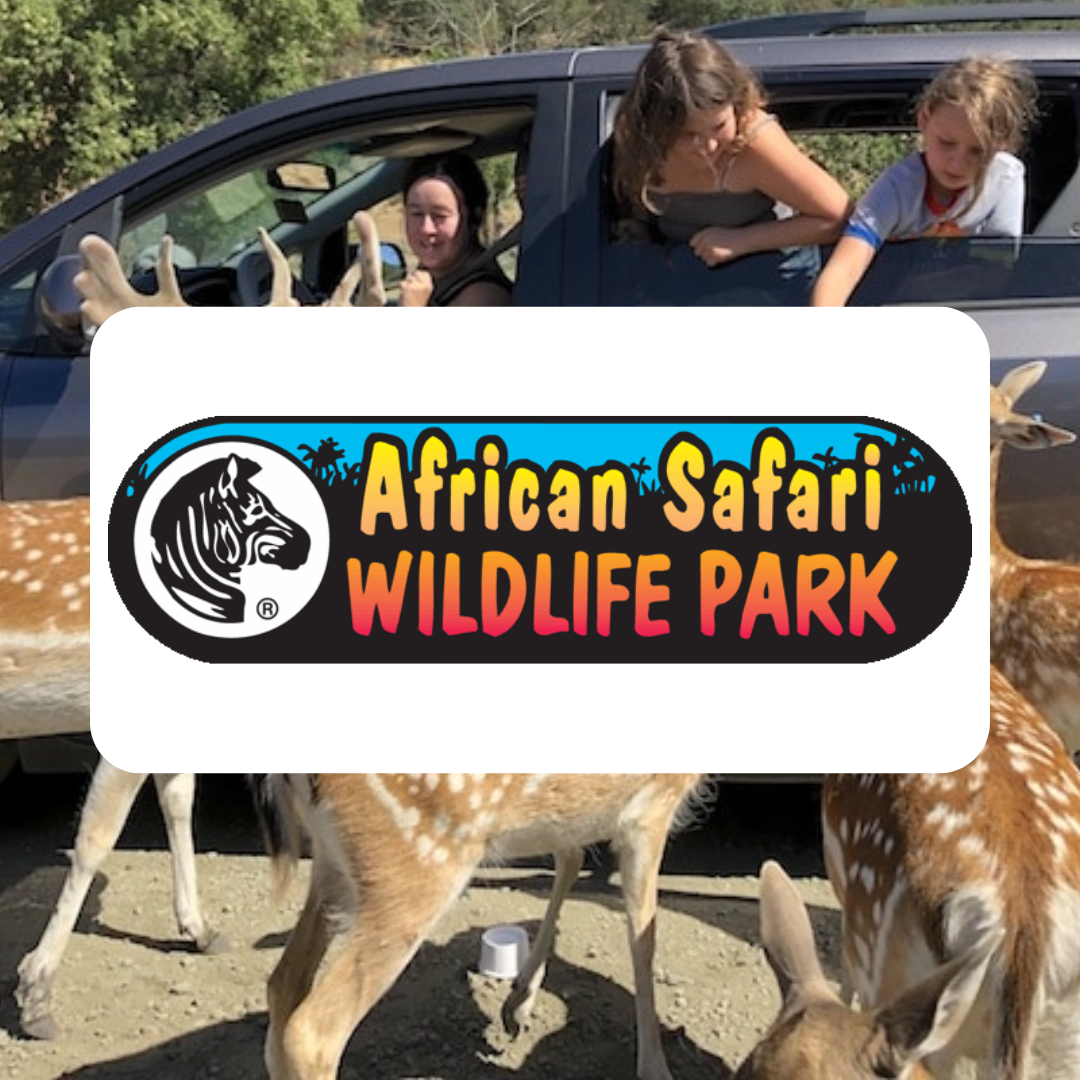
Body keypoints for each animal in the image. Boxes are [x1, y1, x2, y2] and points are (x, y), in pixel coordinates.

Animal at [250, 773, 710, 1080]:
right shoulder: (654, 805)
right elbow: (643, 940)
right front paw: (655, 1068)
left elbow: (571, 856)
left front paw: (518, 1003)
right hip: (416, 866)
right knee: (312, 1032)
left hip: (333, 867)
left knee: (284, 982)